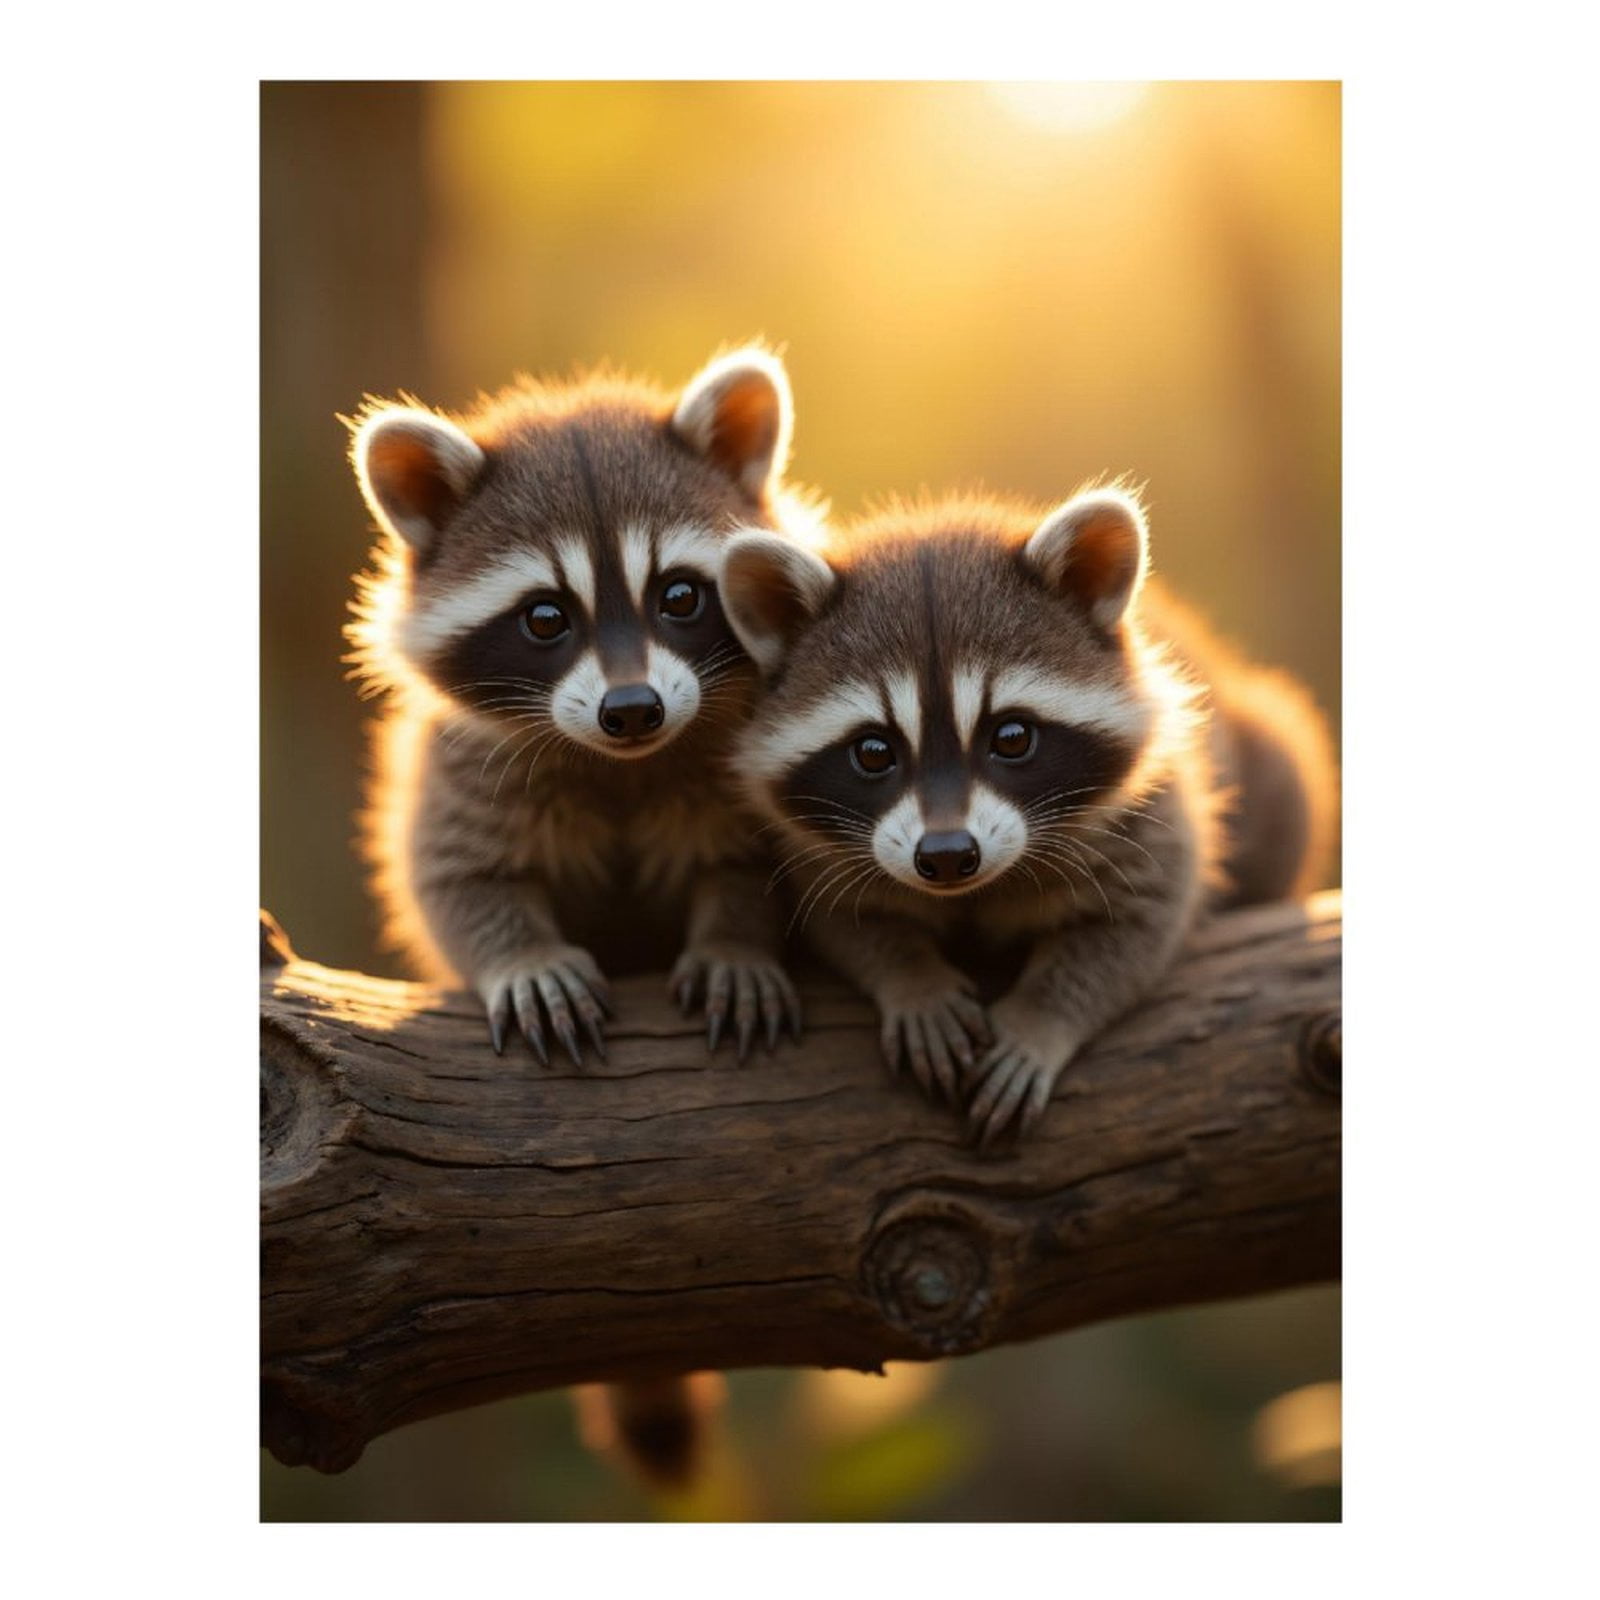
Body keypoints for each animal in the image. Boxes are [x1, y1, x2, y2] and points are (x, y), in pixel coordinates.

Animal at [345, 347, 809, 1062]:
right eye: (545, 618)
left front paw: (735, 943)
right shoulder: (464, 762)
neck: (620, 763)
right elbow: (455, 876)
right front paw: (523, 956)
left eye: (680, 597)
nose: (633, 709)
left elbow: (749, 864)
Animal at [719, 487, 1337, 1146]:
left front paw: (1040, 1021)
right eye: (874, 752)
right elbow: (846, 916)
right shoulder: (815, 843)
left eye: (1012, 737)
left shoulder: (1156, 805)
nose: (946, 857)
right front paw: (912, 978)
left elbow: (1137, 922)